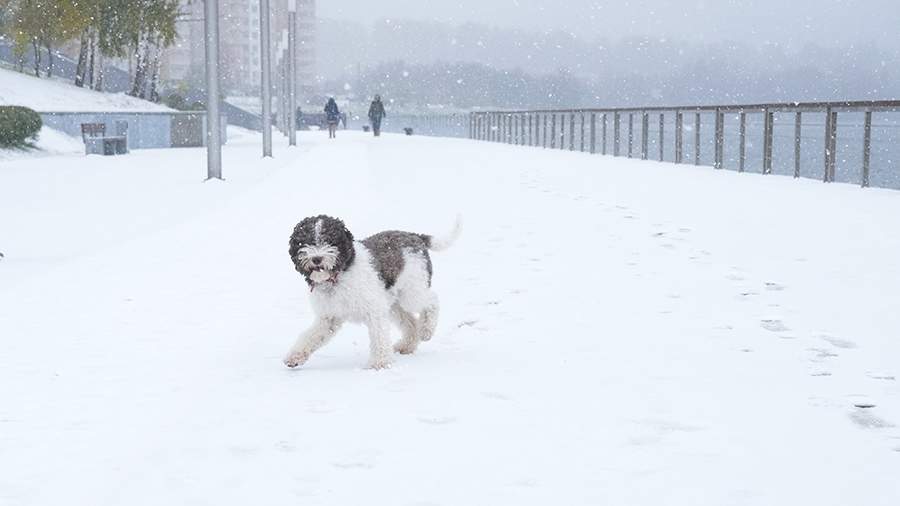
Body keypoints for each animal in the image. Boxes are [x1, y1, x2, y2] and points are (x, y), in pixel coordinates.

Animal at [284, 215, 460, 370]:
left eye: (330, 240)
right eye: (304, 242)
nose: (317, 259)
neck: (340, 276)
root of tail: (415, 237)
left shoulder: (374, 310)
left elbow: (379, 335)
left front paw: (380, 363)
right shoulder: (329, 318)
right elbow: (310, 336)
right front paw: (294, 357)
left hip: (411, 292)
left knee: (432, 301)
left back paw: (426, 330)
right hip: (393, 303)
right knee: (410, 322)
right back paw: (407, 345)